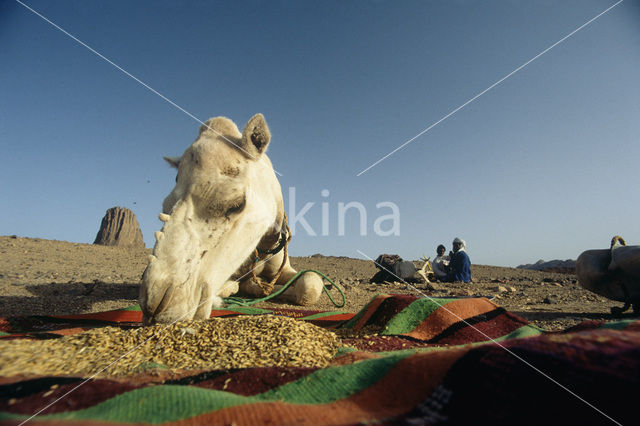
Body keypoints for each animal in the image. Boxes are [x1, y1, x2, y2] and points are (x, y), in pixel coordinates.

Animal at [138, 115, 322, 324]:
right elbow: (230, 286)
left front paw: (267, 288)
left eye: (236, 204)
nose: (155, 305)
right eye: (165, 207)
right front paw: (249, 289)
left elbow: (311, 283)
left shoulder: (281, 267)